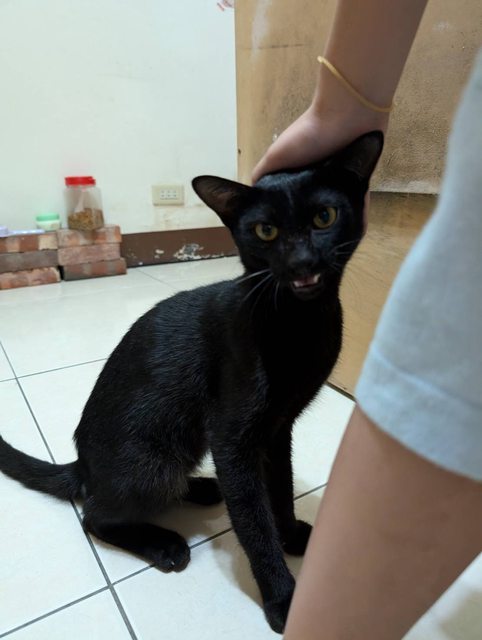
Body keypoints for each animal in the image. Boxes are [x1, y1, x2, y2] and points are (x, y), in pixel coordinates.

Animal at [0, 131, 383, 633]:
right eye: (266, 232)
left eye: (324, 217)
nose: (302, 262)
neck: (298, 324)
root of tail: (83, 465)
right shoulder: (232, 436)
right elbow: (252, 521)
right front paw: (283, 598)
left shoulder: (278, 428)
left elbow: (279, 487)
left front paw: (291, 533)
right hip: (151, 460)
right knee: (95, 517)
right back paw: (163, 543)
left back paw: (202, 488)